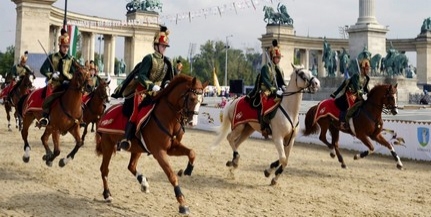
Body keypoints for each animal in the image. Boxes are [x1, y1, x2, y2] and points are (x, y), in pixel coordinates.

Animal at [95, 74, 208, 214]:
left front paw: (188, 169)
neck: (168, 116)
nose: (193, 122)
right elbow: (172, 176)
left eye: (202, 100)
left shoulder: (172, 148)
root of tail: (106, 111)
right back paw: (107, 194)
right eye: (192, 98)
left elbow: (192, 152)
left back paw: (144, 183)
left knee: (131, 166)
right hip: (108, 145)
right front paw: (182, 204)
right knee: (104, 169)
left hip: (136, 148)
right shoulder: (159, 152)